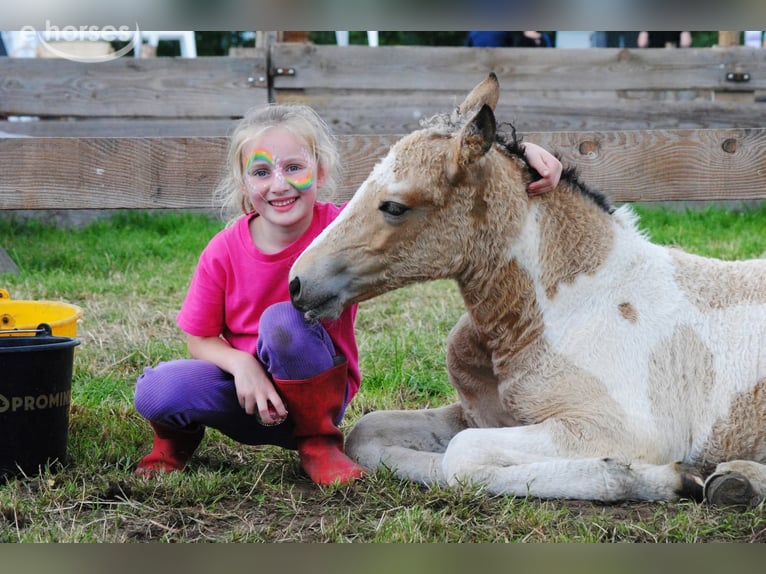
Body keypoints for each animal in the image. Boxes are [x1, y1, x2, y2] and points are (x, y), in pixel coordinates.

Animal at [288, 73, 766, 505]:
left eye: (394, 206)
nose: (297, 282)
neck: (570, 308)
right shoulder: (481, 415)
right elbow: (370, 435)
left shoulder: (623, 429)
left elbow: (461, 456)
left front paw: (652, 477)